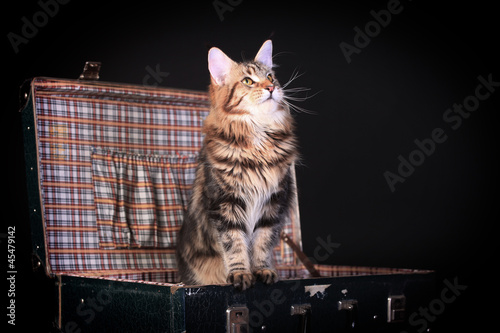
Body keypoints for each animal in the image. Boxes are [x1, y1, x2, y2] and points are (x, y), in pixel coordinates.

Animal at [177, 40, 296, 290]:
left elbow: (263, 242)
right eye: (248, 81)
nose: (271, 88)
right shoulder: (225, 204)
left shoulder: (273, 204)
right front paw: (240, 274)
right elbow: (235, 244)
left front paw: (263, 270)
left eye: (270, 77)